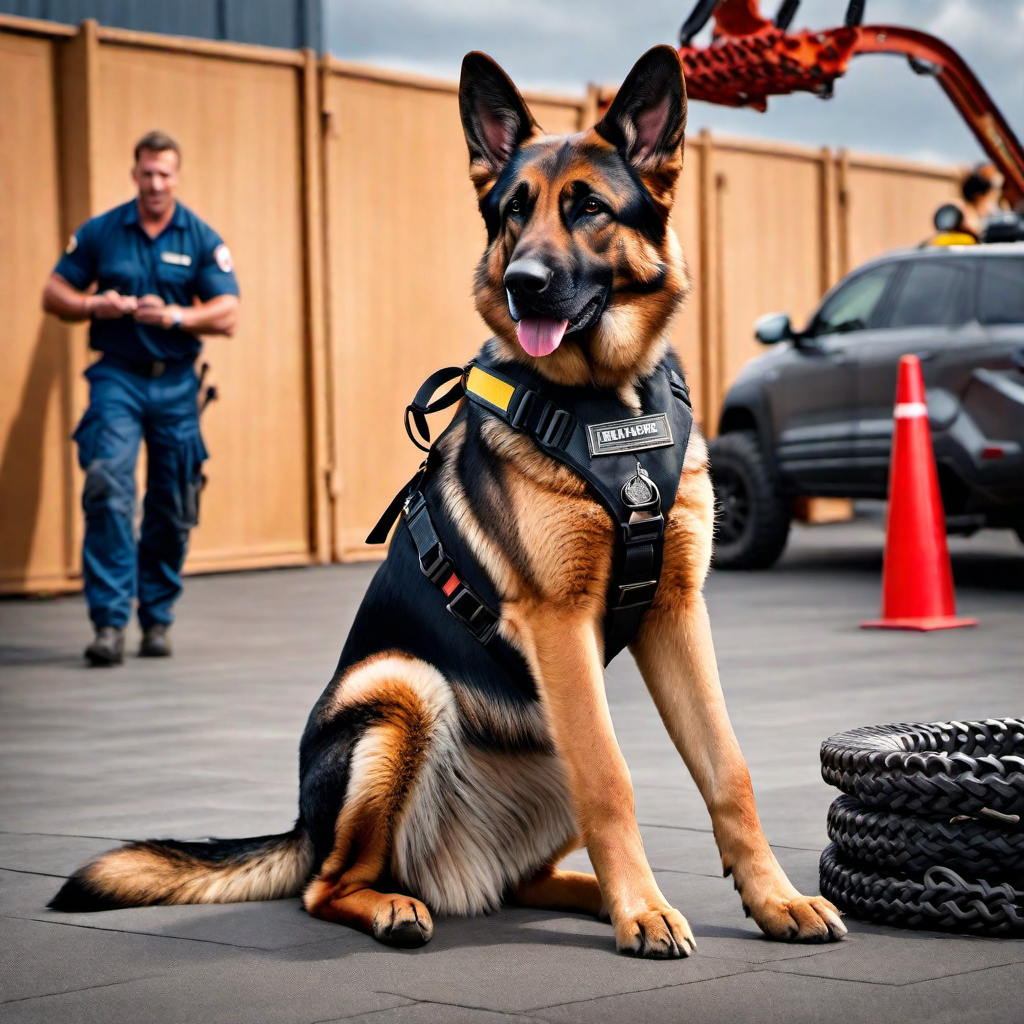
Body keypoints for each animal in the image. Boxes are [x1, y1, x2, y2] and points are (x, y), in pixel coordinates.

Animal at [51, 46, 843, 958]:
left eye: (590, 209)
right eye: (512, 213)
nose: (525, 282)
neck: (607, 404)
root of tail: (304, 827)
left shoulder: (676, 612)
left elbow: (729, 769)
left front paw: (773, 898)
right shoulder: (560, 626)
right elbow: (613, 781)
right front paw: (643, 910)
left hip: (540, 742)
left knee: (516, 879)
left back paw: (583, 893)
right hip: (401, 690)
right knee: (328, 886)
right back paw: (407, 906)